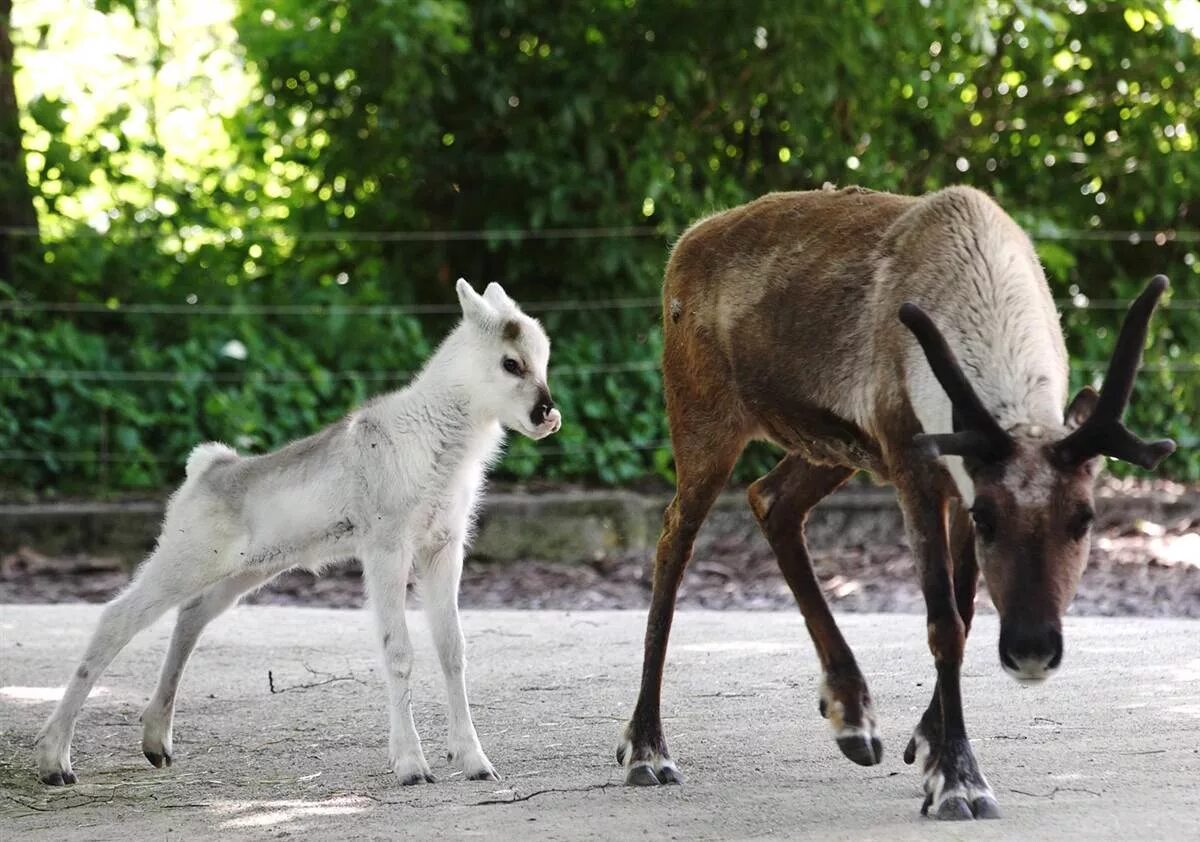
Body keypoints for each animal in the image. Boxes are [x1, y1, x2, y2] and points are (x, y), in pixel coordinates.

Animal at [36, 280, 561, 786]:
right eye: (511, 363)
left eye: (544, 360)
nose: (548, 415)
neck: (443, 439)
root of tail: (205, 468)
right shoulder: (385, 547)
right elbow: (398, 650)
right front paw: (411, 766)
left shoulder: (443, 547)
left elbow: (452, 650)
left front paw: (476, 762)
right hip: (186, 557)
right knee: (116, 618)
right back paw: (54, 761)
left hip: (244, 572)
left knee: (190, 617)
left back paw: (155, 743)